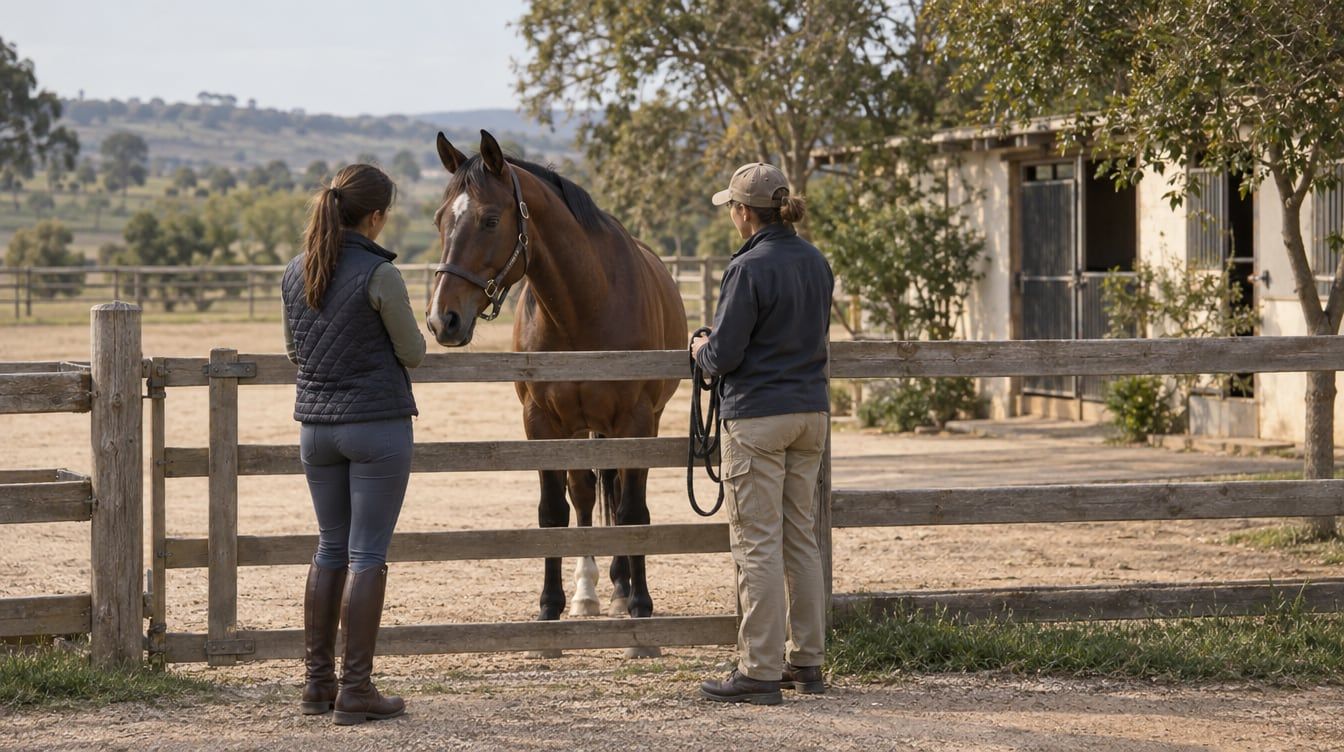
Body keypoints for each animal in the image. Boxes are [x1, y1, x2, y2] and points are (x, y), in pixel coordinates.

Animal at [425, 130, 688, 653]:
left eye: (490, 219)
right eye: (442, 218)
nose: (443, 319)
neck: (585, 306)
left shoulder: (636, 422)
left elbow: (632, 512)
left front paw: (641, 618)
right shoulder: (541, 423)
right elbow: (553, 511)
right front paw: (549, 614)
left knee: (616, 493)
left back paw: (622, 592)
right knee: (587, 493)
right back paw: (591, 594)